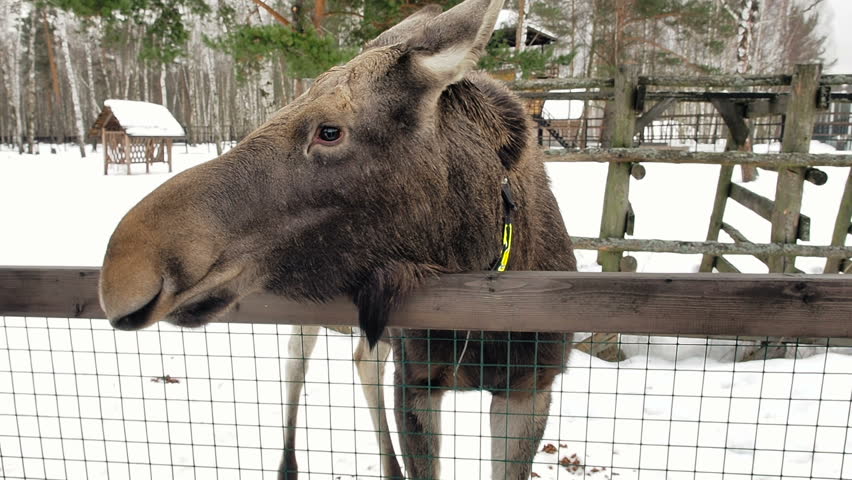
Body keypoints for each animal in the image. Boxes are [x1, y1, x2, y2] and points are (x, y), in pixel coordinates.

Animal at [98, 0, 577, 478]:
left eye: (329, 131)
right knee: (298, 361)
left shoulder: (531, 388)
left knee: (361, 358)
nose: (123, 272)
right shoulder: (414, 381)